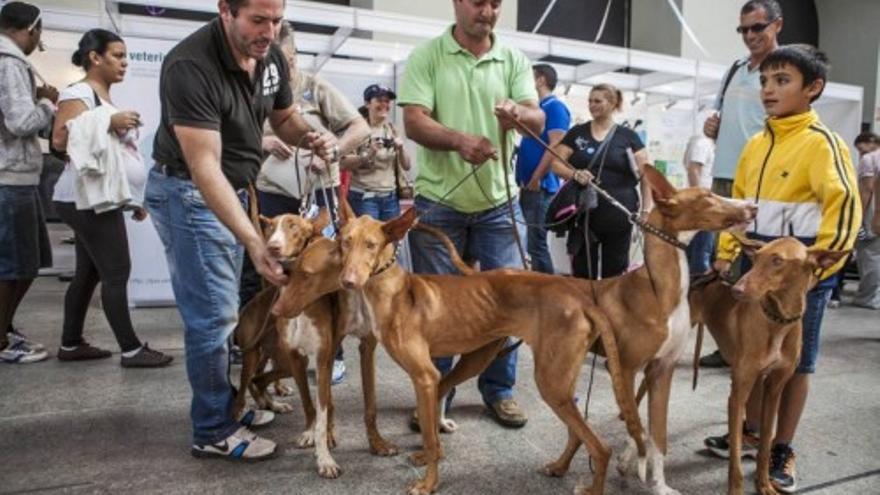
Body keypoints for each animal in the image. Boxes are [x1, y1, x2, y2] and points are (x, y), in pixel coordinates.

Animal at [272, 203, 644, 495]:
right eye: (344, 242)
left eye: (371, 244)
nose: (348, 281)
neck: (394, 291)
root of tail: (579, 296)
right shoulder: (432, 378)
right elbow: (431, 425)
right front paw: (429, 455)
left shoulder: (425, 376)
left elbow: (430, 433)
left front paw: (428, 483)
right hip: (500, 365)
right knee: (578, 433)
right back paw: (559, 467)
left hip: (548, 381)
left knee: (602, 446)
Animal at [692, 238, 848, 494]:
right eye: (756, 258)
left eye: (778, 260)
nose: (736, 290)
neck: (778, 321)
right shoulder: (738, 394)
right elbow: (735, 460)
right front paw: (736, 489)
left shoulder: (774, 390)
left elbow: (765, 445)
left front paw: (764, 483)